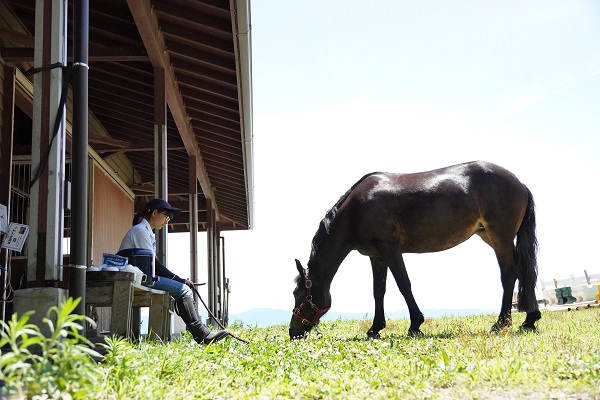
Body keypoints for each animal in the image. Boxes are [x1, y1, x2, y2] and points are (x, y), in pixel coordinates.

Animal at [288, 159, 540, 338]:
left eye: (297, 294)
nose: (293, 332)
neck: (357, 210)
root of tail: (520, 184)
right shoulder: (377, 256)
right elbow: (378, 290)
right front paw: (375, 328)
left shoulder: (390, 249)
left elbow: (404, 284)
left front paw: (415, 324)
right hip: (489, 235)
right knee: (523, 271)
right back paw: (530, 319)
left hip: (500, 238)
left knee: (509, 274)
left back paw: (501, 323)